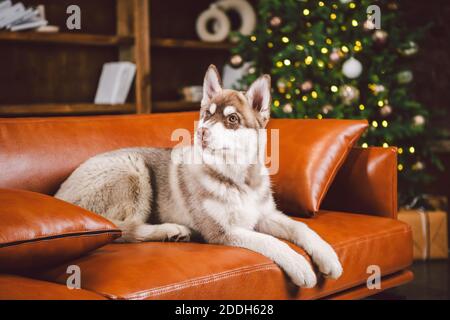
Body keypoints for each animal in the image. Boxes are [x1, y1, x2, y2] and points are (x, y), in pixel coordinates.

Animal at [55, 65, 342, 288]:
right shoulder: (223, 231)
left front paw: (328, 256)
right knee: (125, 230)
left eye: (232, 119)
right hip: (133, 169)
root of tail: (60, 193)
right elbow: (270, 241)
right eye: (207, 114)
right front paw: (299, 264)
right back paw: (171, 230)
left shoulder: (265, 215)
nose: (202, 131)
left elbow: (300, 227)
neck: (238, 179)